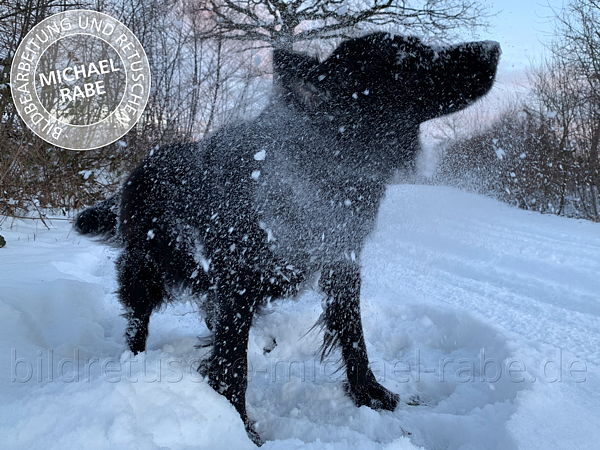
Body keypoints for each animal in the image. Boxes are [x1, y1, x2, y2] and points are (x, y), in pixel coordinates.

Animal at [77, 33, 500, 444]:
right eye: (408, 60)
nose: (493, 48)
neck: (324, 167)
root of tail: (134, 173)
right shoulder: (239, 277)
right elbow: (233, 364)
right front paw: (240, 426)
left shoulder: (342, 263)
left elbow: (353, 335)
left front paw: (369, 393)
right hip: (147, 268)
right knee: (138, 320)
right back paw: (135, 363)